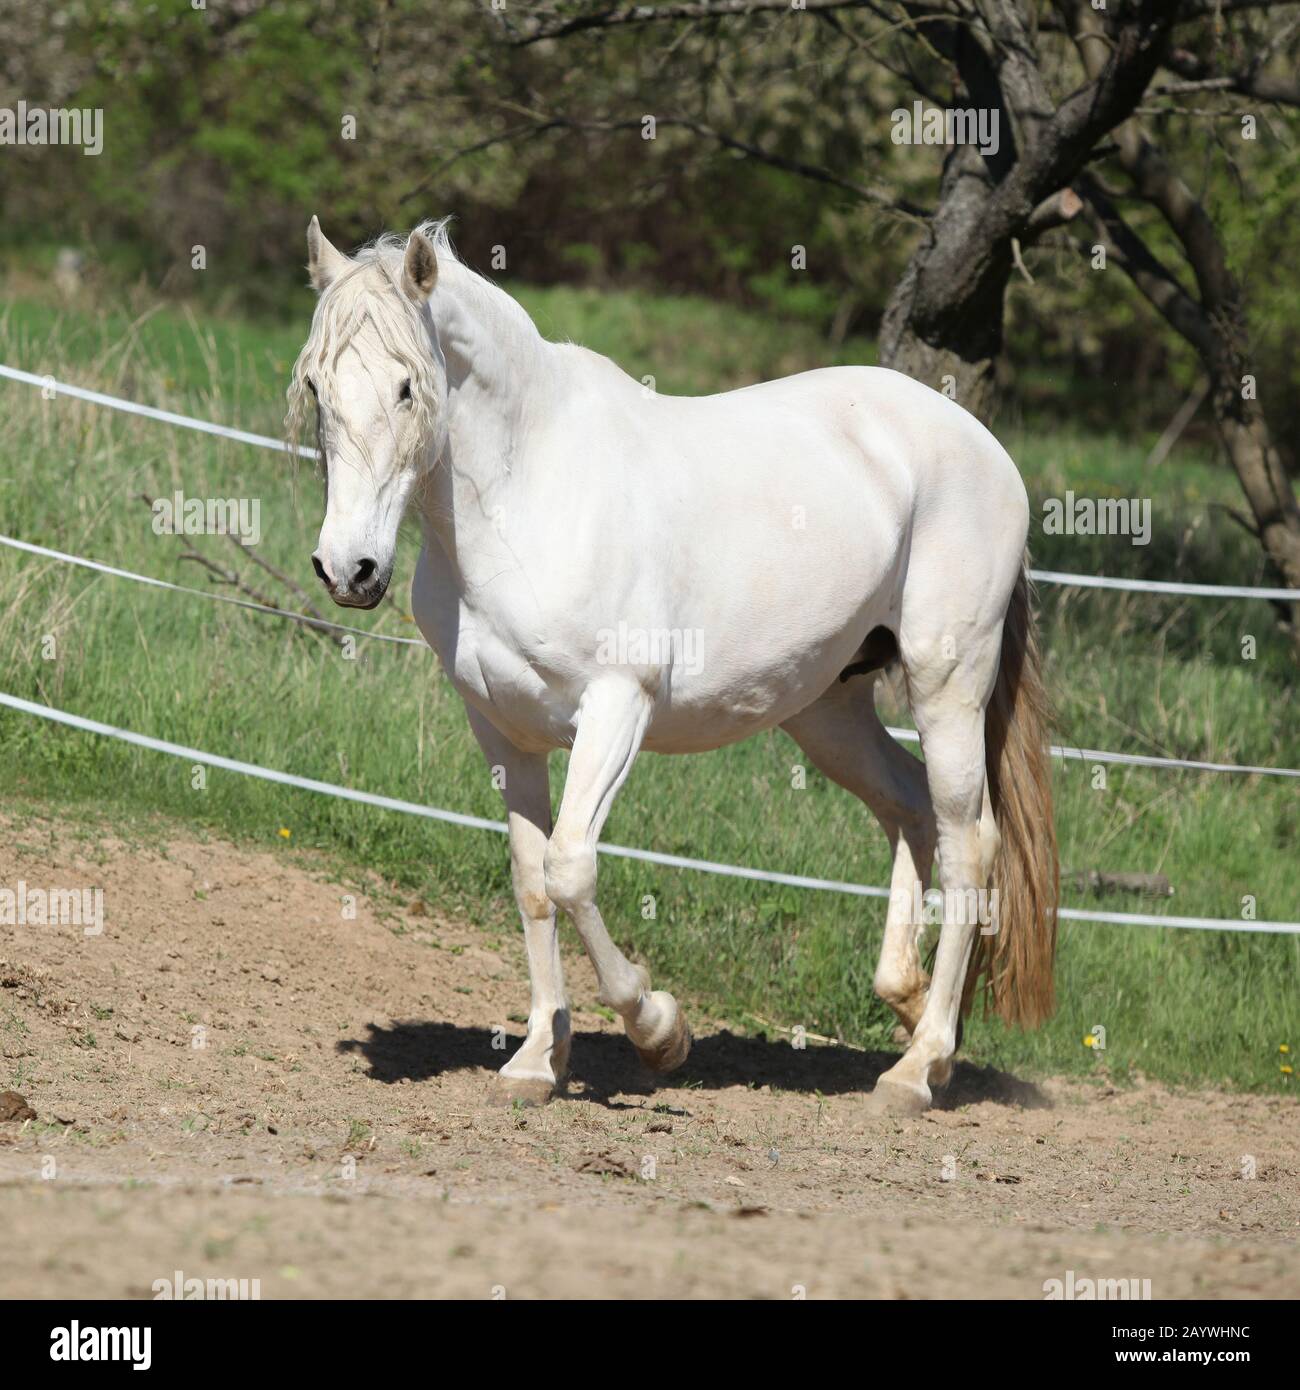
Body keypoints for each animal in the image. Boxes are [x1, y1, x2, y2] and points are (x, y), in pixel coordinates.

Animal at [288, 218, 1059, 1114]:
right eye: (316, 385)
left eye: (408, 387)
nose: (349, 570)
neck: (528, 493)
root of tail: (984, 449)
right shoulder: (502, 730)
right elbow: (531, 879)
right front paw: (536, 1061)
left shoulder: (616, 709)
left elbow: (571, 869)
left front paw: (659, 1030)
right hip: (826, 709)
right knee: (908, 806)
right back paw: (911, 1010)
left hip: (947, 688)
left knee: (970, 839)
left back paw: (917, 1065)